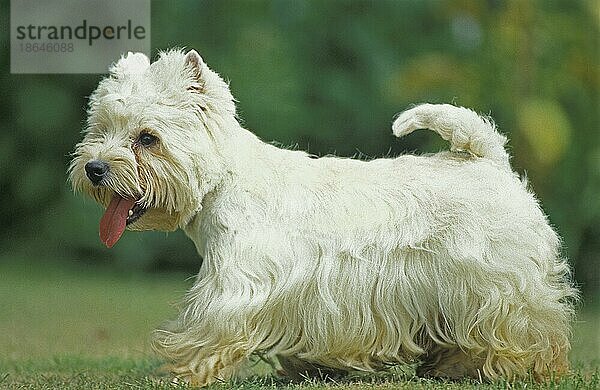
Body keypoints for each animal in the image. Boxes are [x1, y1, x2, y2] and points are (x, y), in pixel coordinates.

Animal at [68, 48, 580, 384]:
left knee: (533, 331)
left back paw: (523, 367)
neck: (224, 181)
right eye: (100, 130)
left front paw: (179, 373)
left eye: (147, 138)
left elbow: (208, 333)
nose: (94, 169)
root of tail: (491, 160)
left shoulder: (236, 286)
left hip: (499, 287)